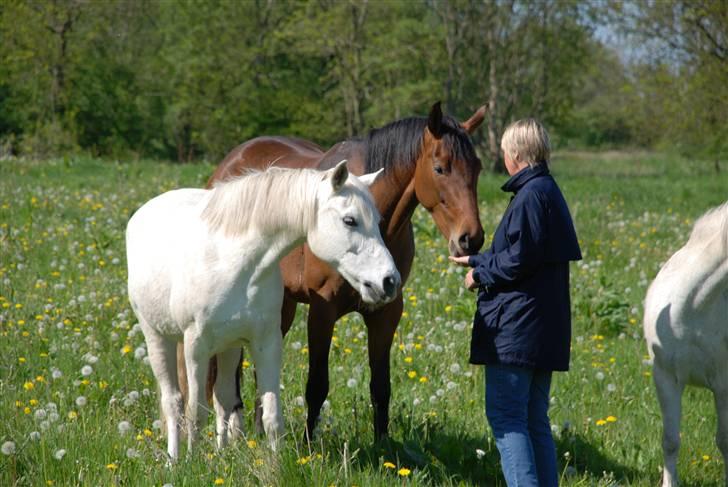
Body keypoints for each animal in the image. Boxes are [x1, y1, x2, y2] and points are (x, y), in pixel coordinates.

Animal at [125, 162, 398, 464]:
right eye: (350, 220)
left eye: (377, 220)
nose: (389, 281)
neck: (235, 262)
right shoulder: (195, 347)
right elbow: (195, 413)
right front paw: (189, 465)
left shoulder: (267, 342)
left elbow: (271, 417)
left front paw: (275, 465)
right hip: (158, 338)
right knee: (173, 402)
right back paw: (173, 460)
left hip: (229, 347)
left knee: (222, 396)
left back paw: (221, 453)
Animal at [177, 102, 486, 442]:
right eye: (440, 168)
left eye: (478, 168)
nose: (470, 239)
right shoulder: (322, 311)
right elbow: (317, 385)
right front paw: (309, 445)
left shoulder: (387, 311)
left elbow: (381, 387)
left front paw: (383, 446)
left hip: (280, 306)